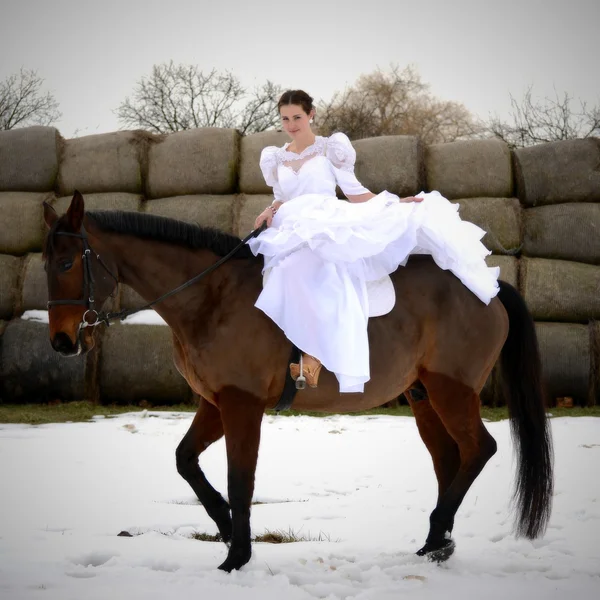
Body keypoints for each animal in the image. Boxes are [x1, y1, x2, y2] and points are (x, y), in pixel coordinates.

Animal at [43, 192, 552, 572]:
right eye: (46, 264)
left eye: (66, 263)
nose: (62, 343)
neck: (212, 297)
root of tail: (490, 290)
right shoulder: (214, 403)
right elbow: (185, 461)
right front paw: (225, 527)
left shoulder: (241, 403)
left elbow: (240, 479)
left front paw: (237, 556)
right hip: (423, 394)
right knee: (450, 460)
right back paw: (435, 543)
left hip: (453, 391)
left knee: (478, 450)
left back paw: (439, 532)